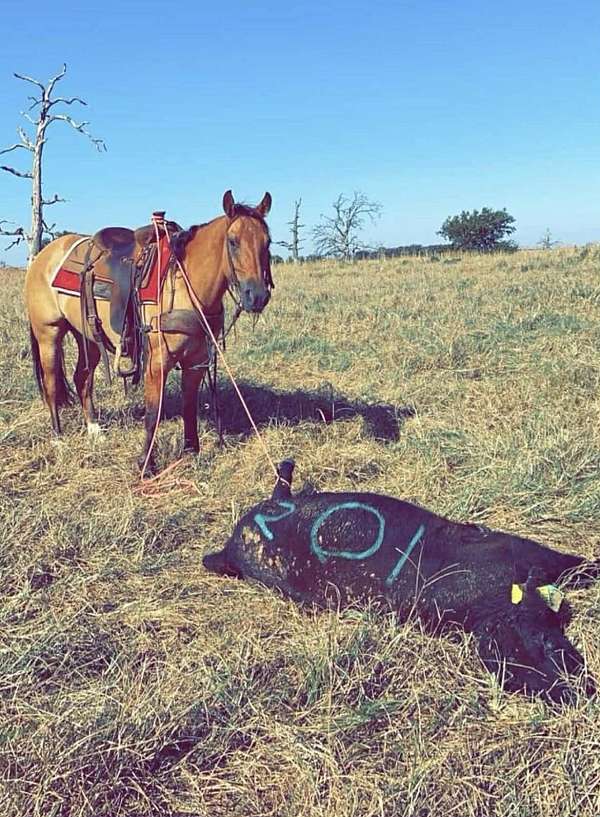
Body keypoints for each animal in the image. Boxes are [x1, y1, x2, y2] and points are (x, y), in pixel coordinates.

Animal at [25, 190, 273, 473]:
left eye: (267, 242)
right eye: (233, 242)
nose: (258, 296)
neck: (184, 283)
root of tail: (43, 257)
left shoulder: (196, 361)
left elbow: (189, 406)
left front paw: (191, 451)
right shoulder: (156, 363)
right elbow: (153, 413)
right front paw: (146, 464)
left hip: (88, 337)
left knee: (82, 378)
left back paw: (95, 431)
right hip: (48, 335)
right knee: (52, 385)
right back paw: (58, 439)